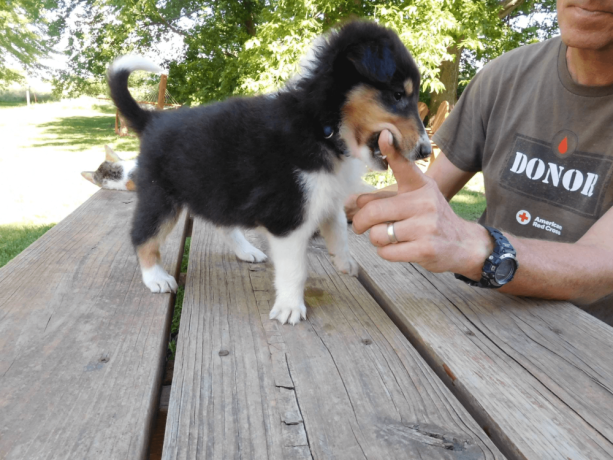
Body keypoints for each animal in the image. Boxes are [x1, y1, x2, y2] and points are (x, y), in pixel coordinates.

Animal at [106, 19, 430, 326]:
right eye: (397, 95)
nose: (426, 151)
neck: (321, 126)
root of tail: (152, 120)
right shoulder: (288, 217)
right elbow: (295, 269)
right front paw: (290, 308)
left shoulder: (326, 194)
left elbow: (338, 227)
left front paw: (344, 262)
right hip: (161, 196)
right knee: (143, 235)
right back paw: (156, 278)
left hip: (216, 187)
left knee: (222, 222)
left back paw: (246, 250)